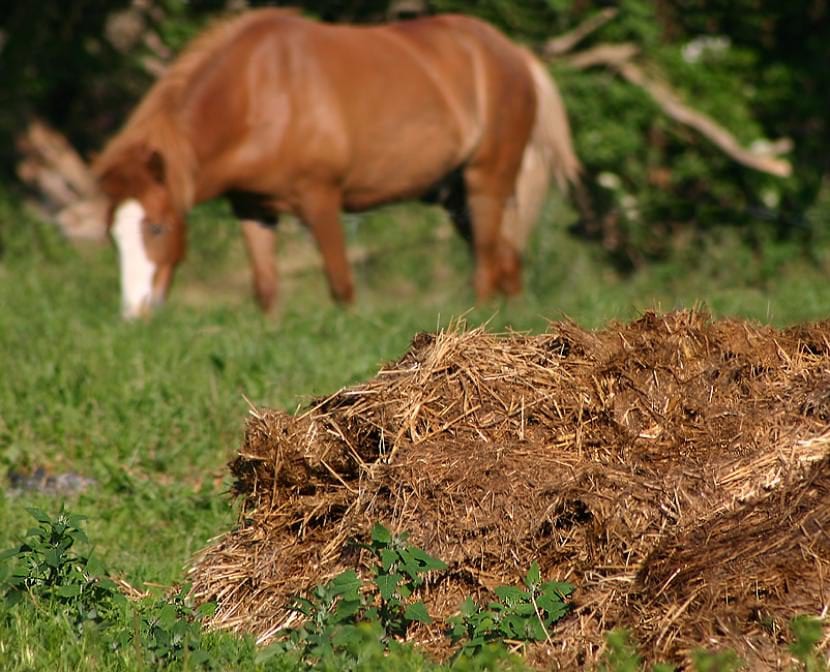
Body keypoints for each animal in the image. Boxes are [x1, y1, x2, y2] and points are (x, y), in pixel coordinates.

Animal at [93, 8, 580, 319]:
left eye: (158, 227)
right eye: (113, 236)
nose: (134, 313)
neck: (258, 92)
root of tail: (515, 53)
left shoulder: (321, 199)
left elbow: (341, 286)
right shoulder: (253, 208)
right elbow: (266, 289)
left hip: (487, 181)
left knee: (486, 263)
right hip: (456, 195)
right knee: (506, 260)